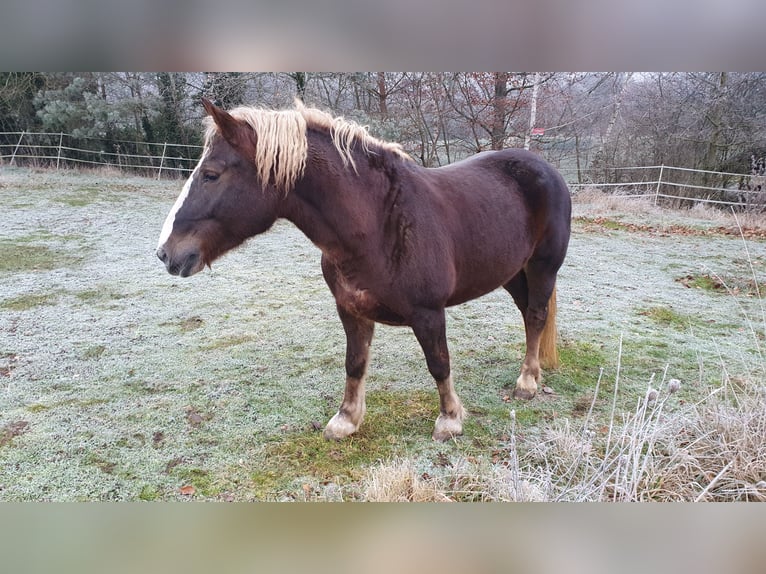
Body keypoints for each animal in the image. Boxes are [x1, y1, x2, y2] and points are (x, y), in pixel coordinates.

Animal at [158, 99, 568, 444]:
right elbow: (354, 364)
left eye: (211, 175)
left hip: (542, 267)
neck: (378, 223)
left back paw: (527, 383)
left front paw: (449, 420)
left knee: (536, 315)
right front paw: (346, 420)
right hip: (511, 273)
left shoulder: (428, 313)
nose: (165, 253)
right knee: (528, 315)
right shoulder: (350, 309)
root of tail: (547, 168)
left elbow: (439, 363)